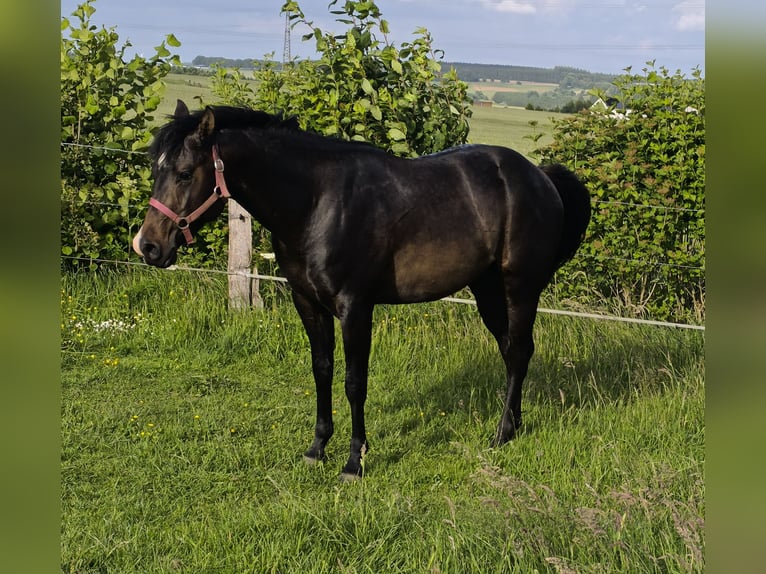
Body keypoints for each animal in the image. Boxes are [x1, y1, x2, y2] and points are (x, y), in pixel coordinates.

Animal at [133, 99, 590, 480]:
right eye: (156, 170)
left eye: (185, 173)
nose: (148, 246)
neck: (316, 202)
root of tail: (540, 177)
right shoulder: (307, 302)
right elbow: (321, 370)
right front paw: (317, 448)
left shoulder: (355, 307)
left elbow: (355, 381)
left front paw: (355, 461)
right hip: (487, 291)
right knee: (511, 351)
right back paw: (514, 424)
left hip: (519, 288)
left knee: (520, 351)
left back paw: (501, 434)